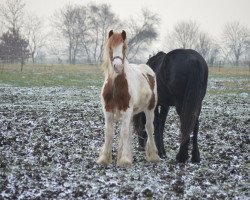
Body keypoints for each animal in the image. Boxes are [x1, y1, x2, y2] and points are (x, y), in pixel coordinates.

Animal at [96, 29, 159, 166]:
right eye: (110, 47)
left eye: (124, 47)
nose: (118, 67)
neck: (116, 85)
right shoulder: (107, 110)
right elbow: (109, 132)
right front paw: (104, 158)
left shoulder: (126, 109)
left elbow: (124, 132)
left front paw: (124, 160)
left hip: (149, 109)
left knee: (149, 128)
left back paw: (153, 155)